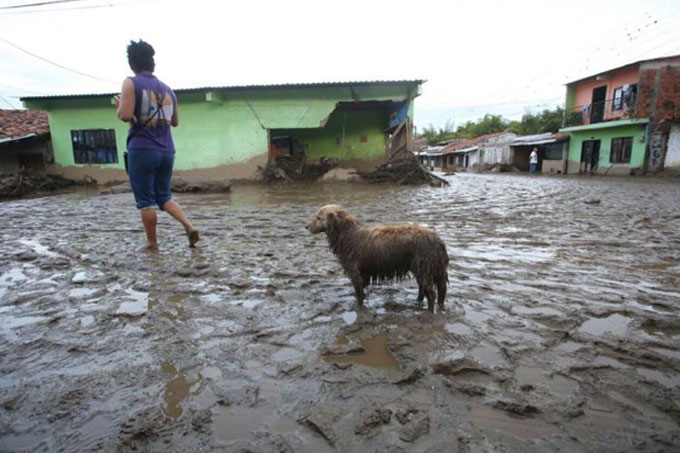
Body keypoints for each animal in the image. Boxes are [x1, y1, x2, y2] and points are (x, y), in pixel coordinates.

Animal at [306, 205, 448, 310]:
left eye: (318, 217)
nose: (306, 226)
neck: (347, 235)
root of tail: (437, 240)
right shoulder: (363, 273)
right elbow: (360, 292)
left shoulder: (355, 271)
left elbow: (359, 294)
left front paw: (359, 307)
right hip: (424, 268)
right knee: (430, 289)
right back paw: (421, 303)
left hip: (423, 267)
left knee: (431, 293)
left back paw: (430, 311)